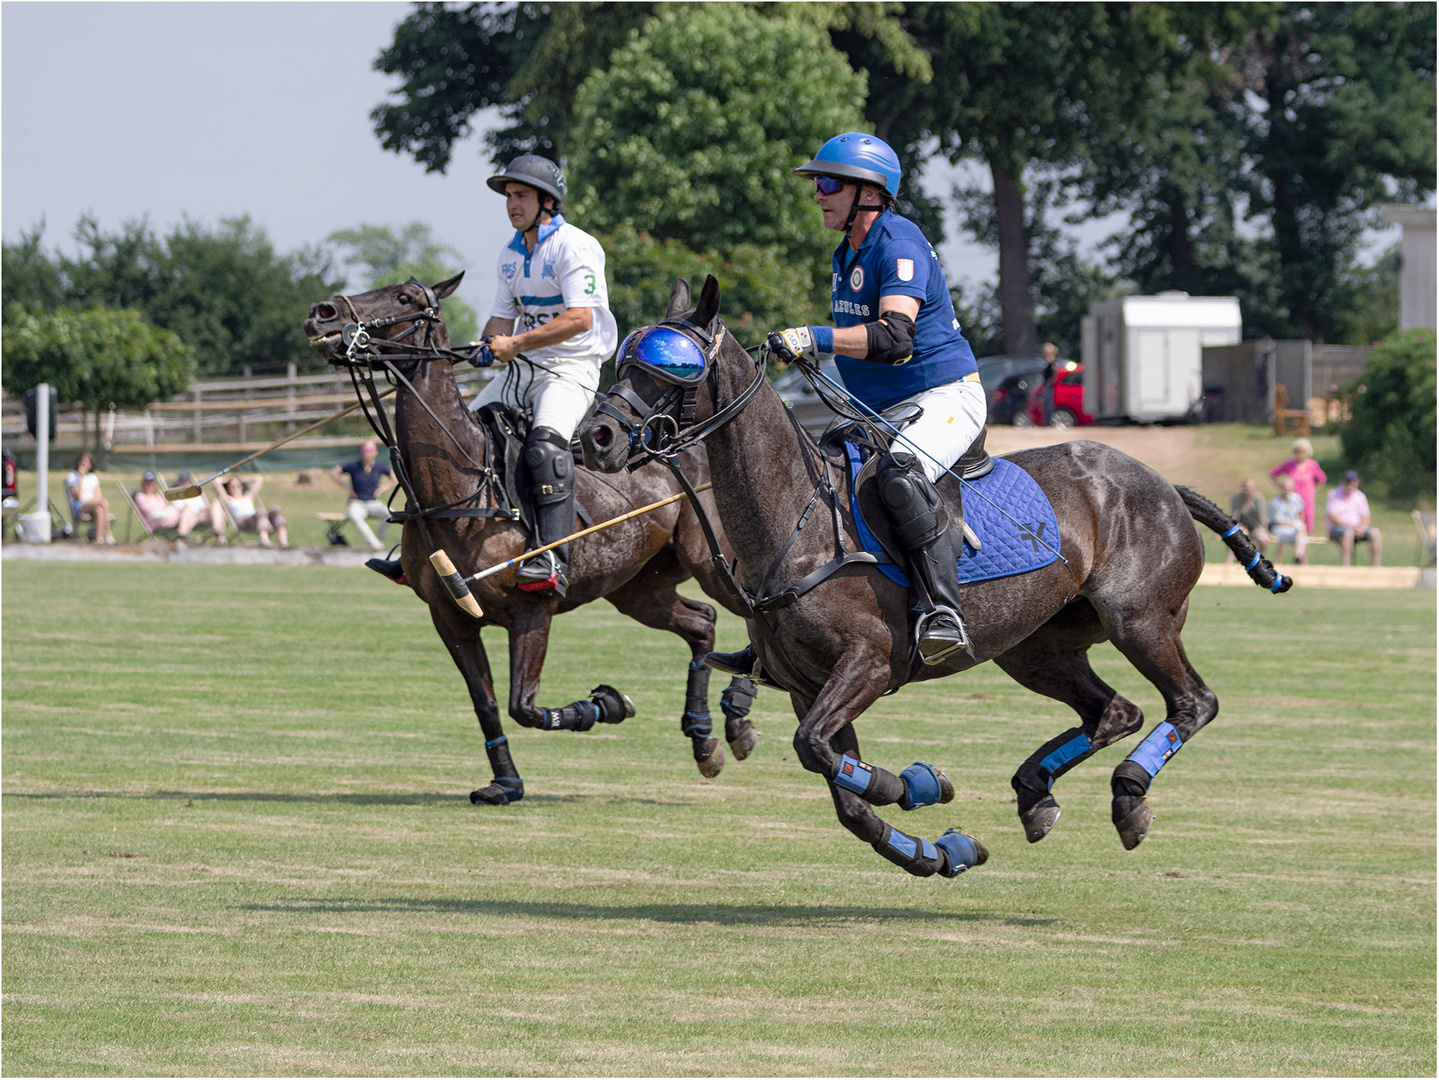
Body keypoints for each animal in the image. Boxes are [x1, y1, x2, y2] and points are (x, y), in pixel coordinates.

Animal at [305, 274, 765, 805]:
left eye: (404, 297)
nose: (321, 313)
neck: (461, 487)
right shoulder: (449, 616)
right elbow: (486, 704)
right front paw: (505, 782)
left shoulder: (533, 609)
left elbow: (522, 704)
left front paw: (605, 705)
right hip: (636, 588)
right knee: (702, 624)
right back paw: (705, 737)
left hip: (711, 561)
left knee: (749, 609)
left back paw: (739, 712)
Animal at [575, 276, 1295, 880]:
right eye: (621, 359)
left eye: (672, 365)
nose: (597, 438)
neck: (795, 522)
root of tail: (1165, 484)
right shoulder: (810, 687)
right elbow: (840, 786)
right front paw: (935, 847)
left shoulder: (867, 662)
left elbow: (819, 753)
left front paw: (912, 785)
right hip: (1035, 647)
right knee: (1115, 709)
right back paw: (1035, 793)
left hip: (1138, 618)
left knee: (1192, 702)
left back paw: (1127, 795)